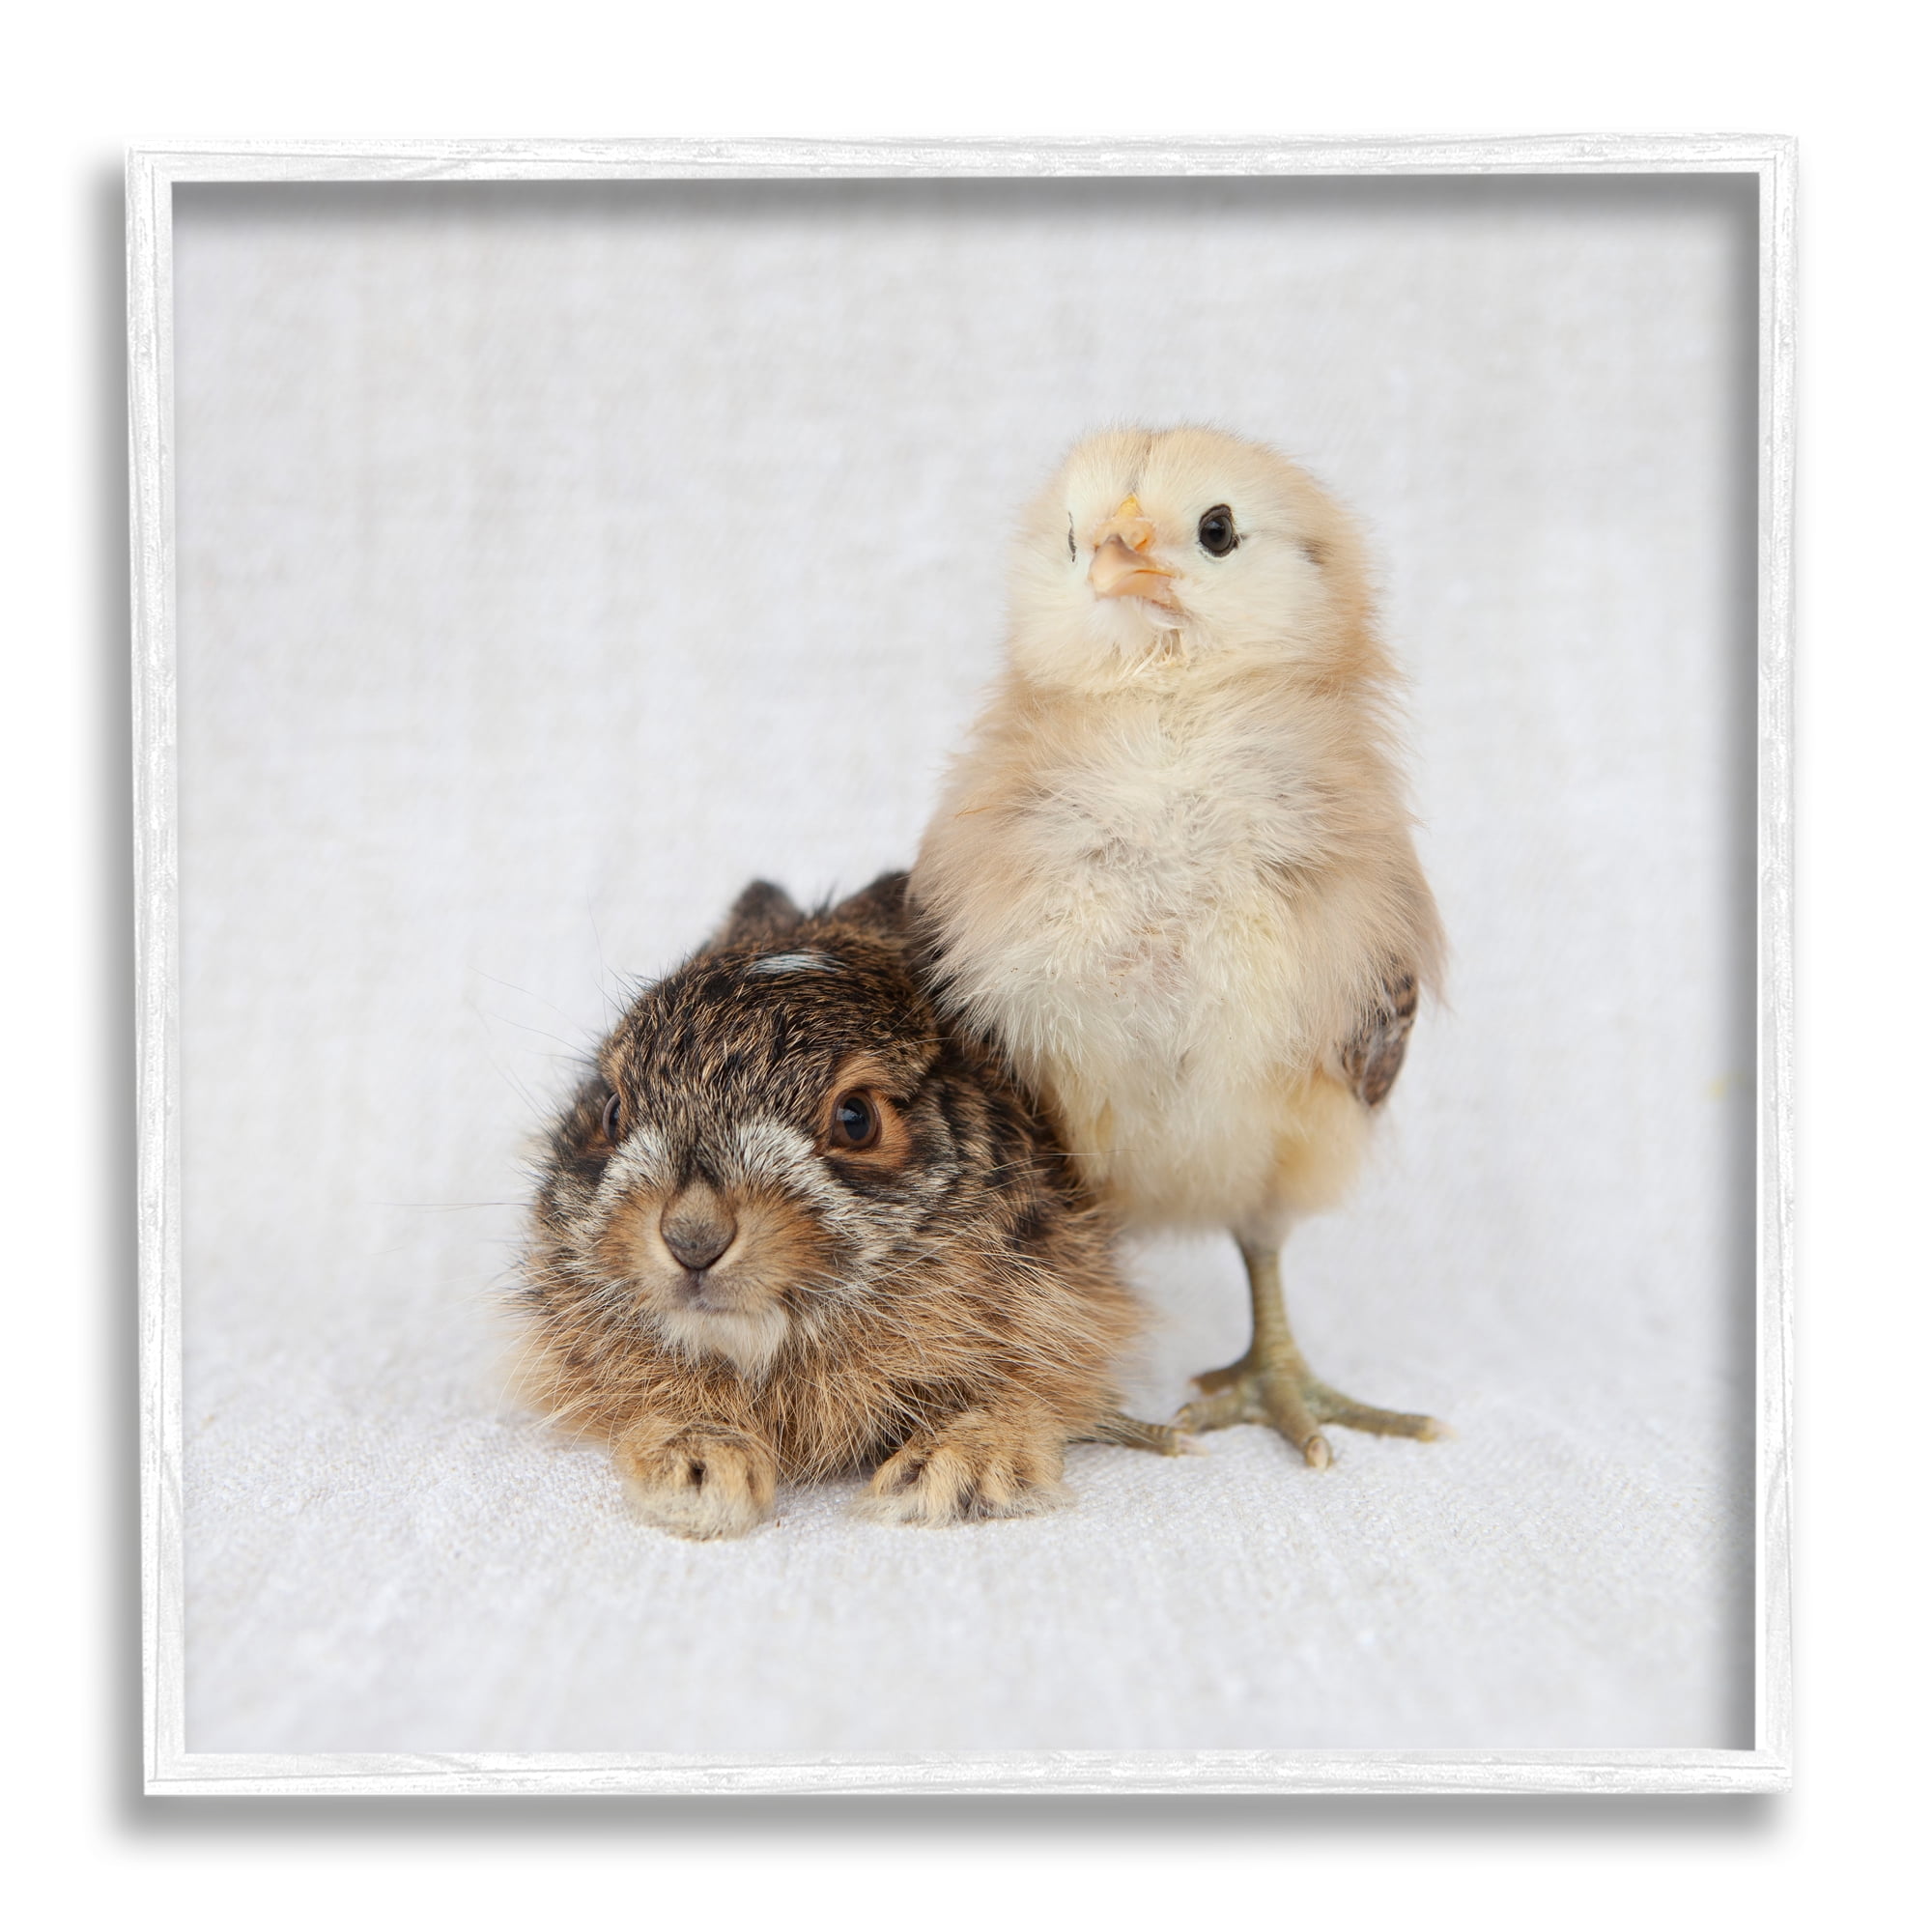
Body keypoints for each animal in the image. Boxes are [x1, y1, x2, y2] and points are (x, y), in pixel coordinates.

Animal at [515, 871, 1178, 1540]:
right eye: (612, 1112)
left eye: (856, 1119)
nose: (693, 1239)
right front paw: (699, 1475)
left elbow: (1021, 1393)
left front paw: (950, 1475)